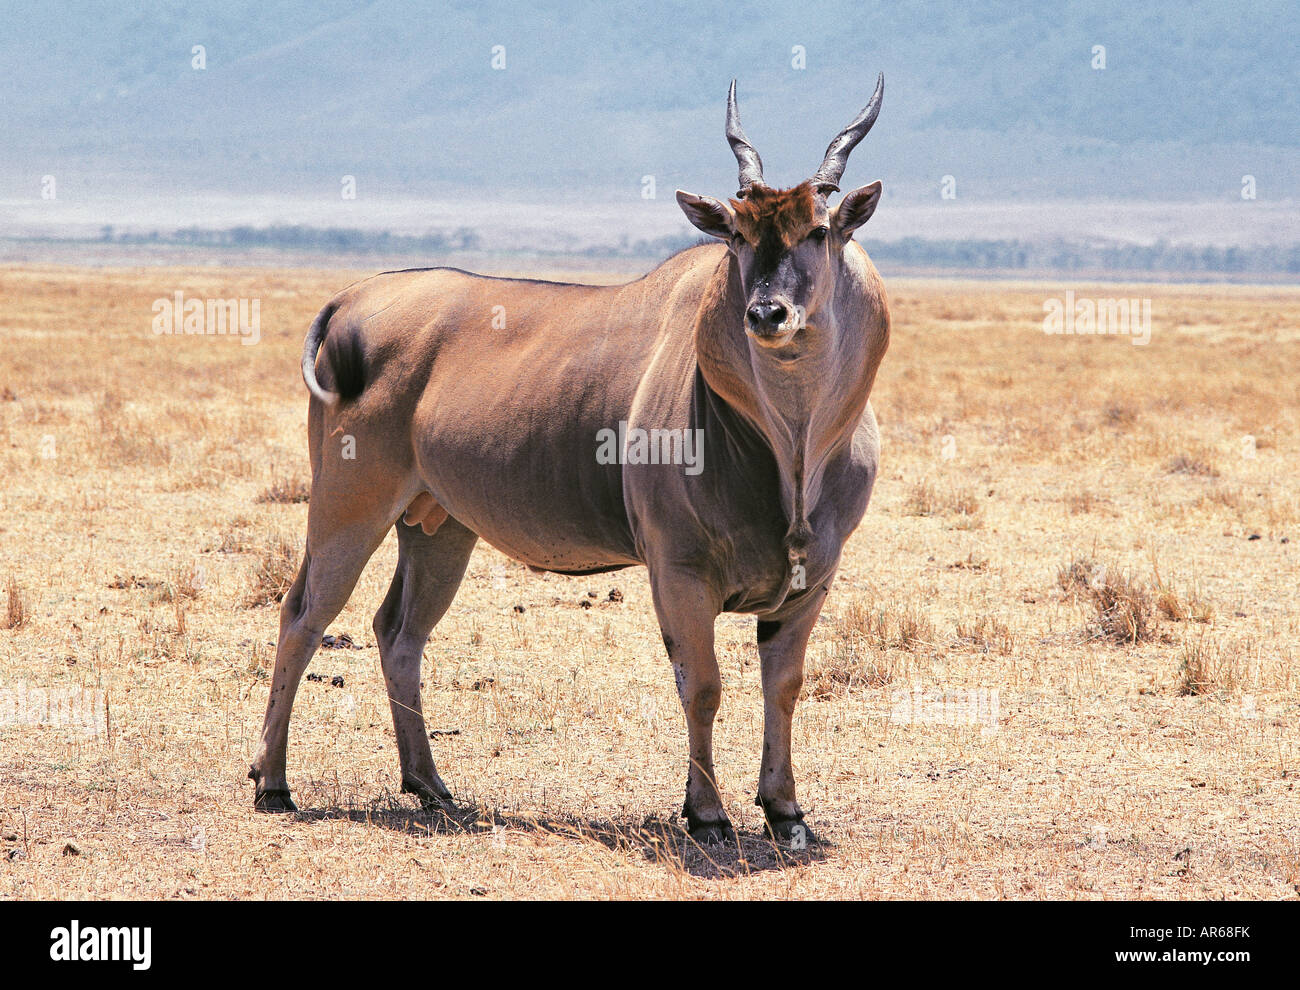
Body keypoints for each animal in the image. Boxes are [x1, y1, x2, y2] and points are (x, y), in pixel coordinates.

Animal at [248, 75, 889, 841]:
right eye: (737, 232)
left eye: (819, 230)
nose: (768, 314)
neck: (790, 451)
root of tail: (351, 296)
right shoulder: (679, 570)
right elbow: (702, 686)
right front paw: (705, 814)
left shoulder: (812, 579)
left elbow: (783, 687)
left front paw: (786, 811)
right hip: (350, 506)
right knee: (303, 614)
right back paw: (273, 782)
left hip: (437, 526)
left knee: (398, 631)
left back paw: (430, 784)